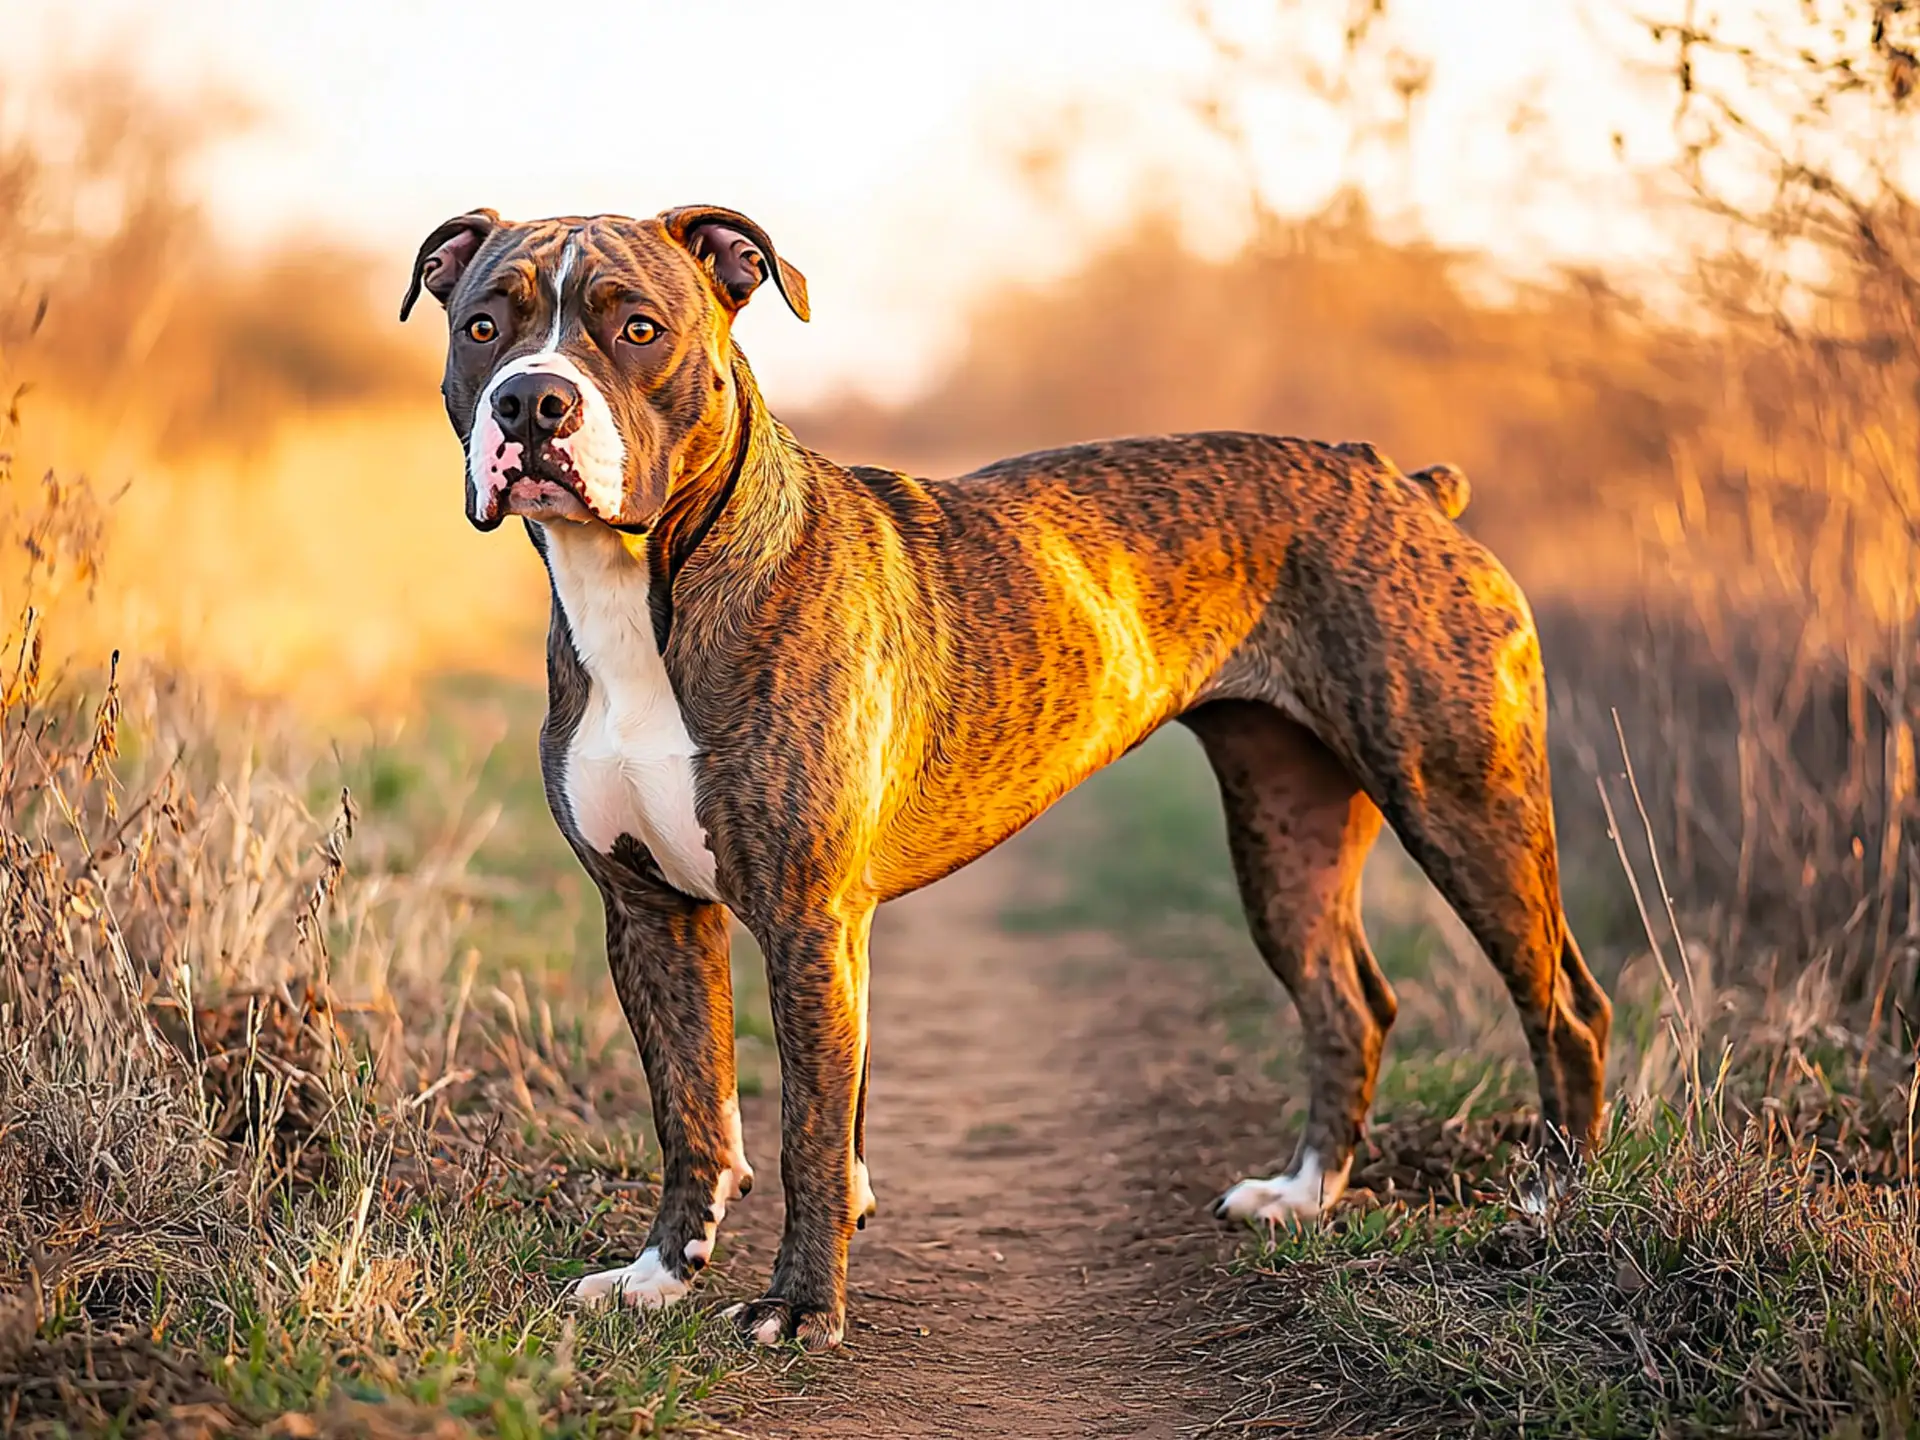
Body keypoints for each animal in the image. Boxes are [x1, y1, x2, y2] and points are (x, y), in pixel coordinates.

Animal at [401, 203, 1605, 1351]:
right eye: (484, 327)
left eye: (639, 330)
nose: (532, 405)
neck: (650, 585)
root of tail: (1404, 483)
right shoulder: (650, 912)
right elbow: (692, 1109)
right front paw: (659, 1276)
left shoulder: (805, 918)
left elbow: (807, 1136)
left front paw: (801, 1308)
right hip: (1285, 837)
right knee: (1349, 1004)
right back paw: (1303, 1195)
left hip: (1465, 807)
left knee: (1565, 1006)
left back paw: (1553, 1204)